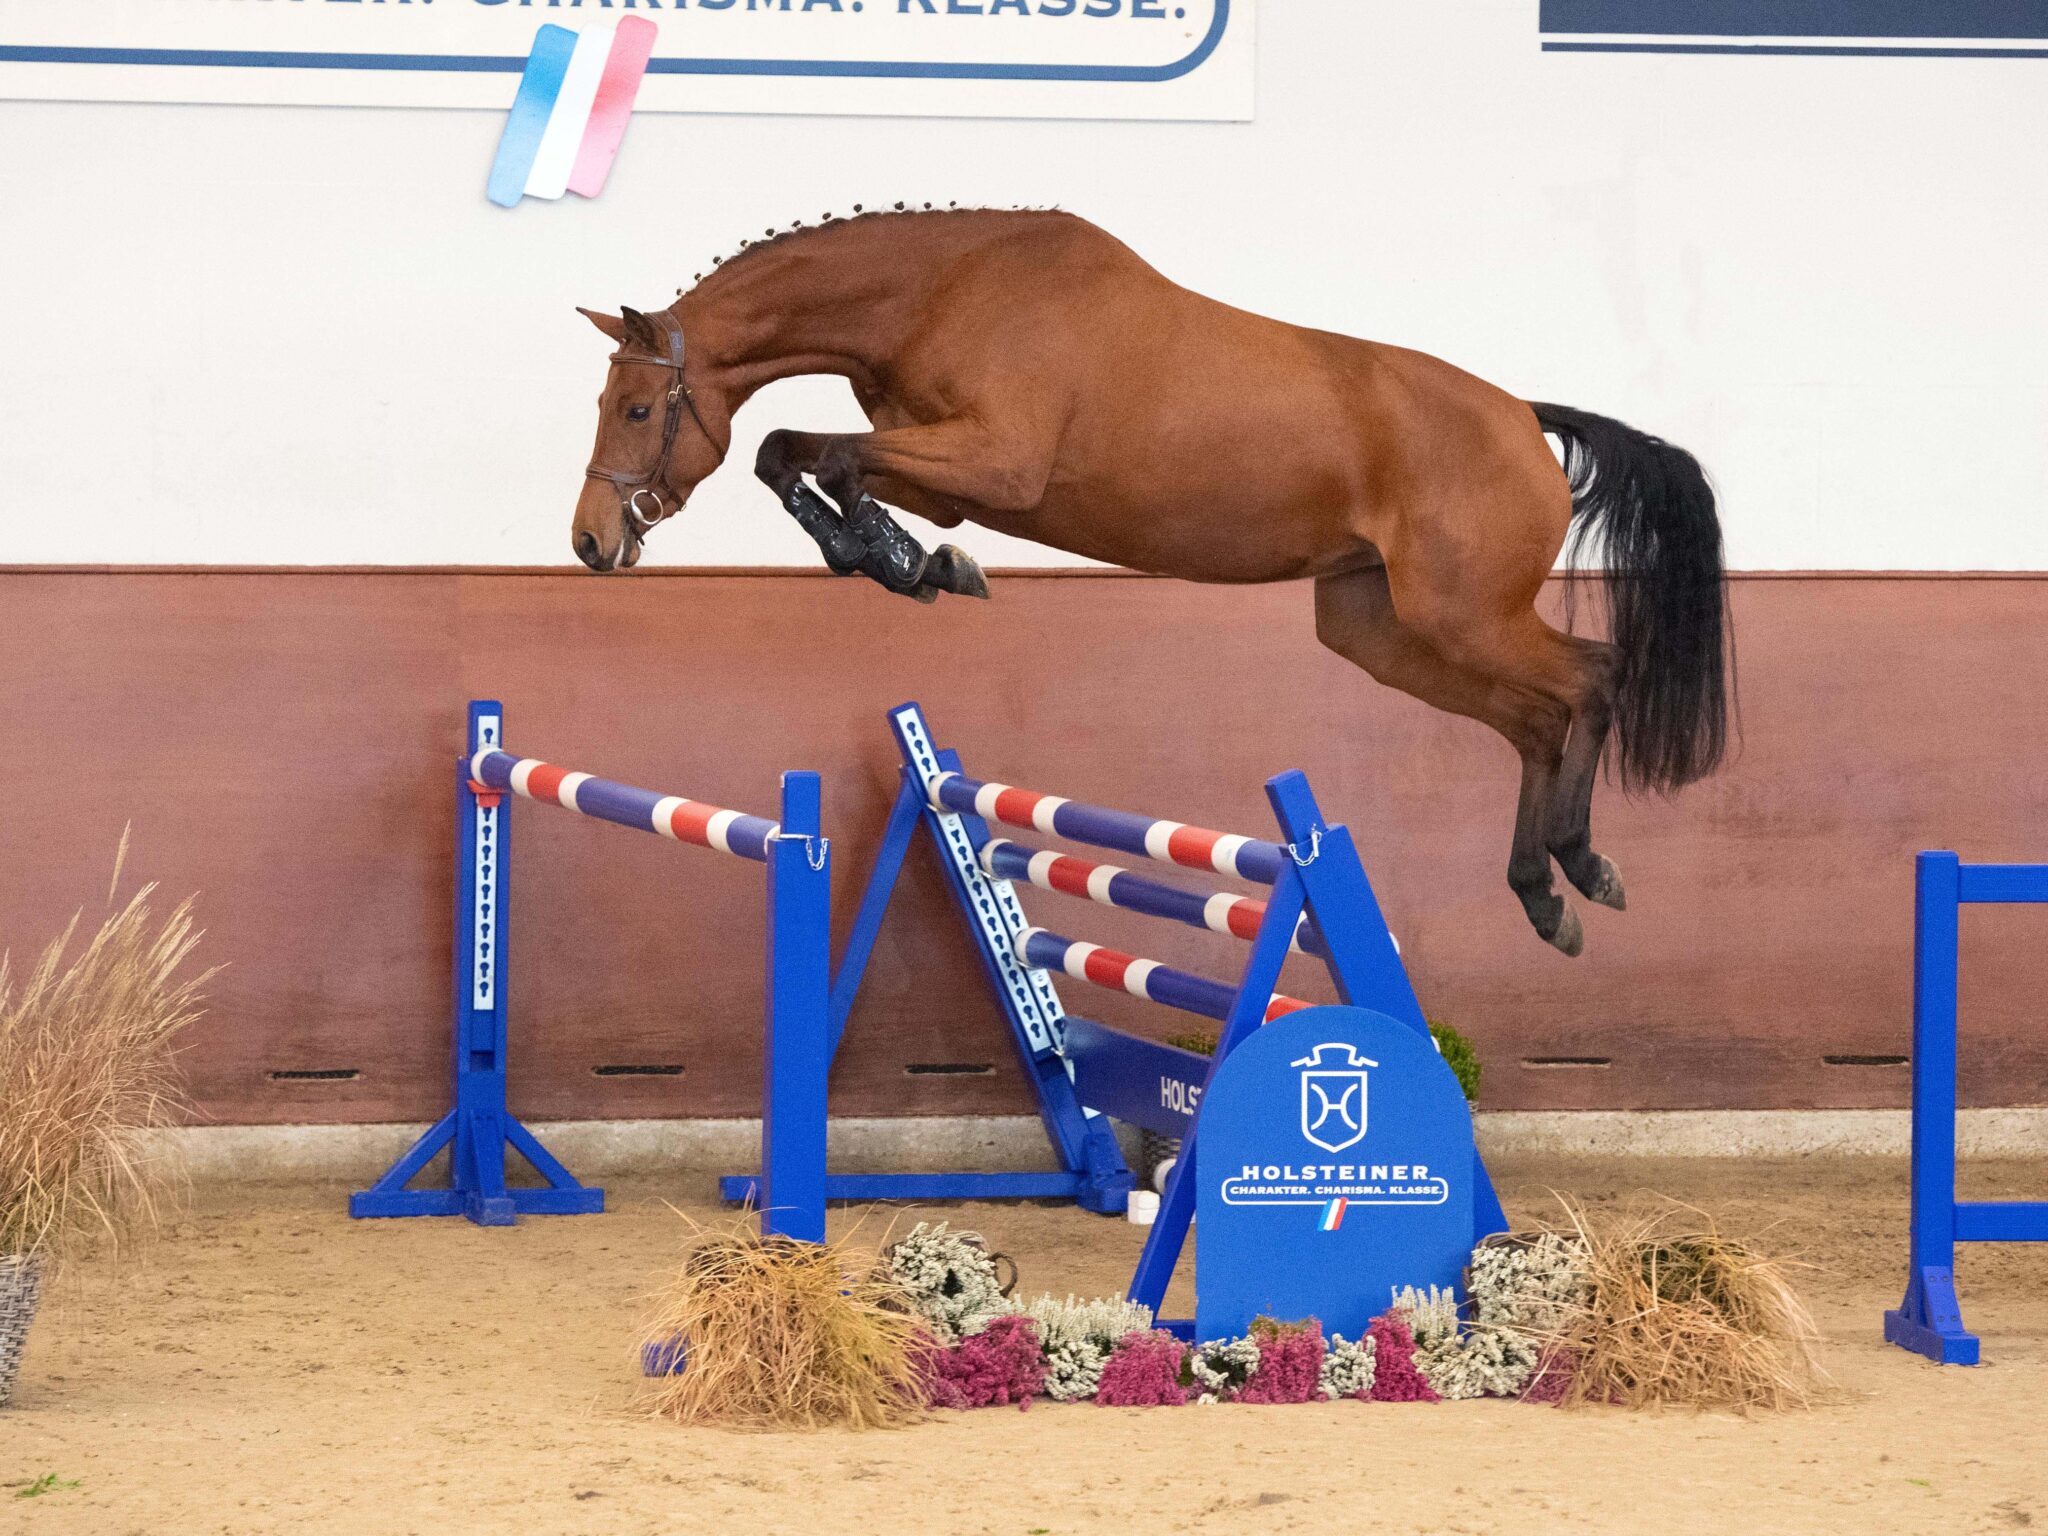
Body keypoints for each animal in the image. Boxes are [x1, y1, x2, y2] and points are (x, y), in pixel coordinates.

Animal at [570, 207, 1731, 955]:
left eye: (637, 409)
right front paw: (914, 563)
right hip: (1386, 634)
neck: (938, 288)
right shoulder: (945, 471)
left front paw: (904, 562)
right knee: (1535, 722)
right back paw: (1543, 898)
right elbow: (797, 457)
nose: (588, 541)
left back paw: (1583, 867)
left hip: (1466, 617)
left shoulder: (994, 461)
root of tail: (1524, 419)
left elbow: (822, 459)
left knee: (1589, 678)